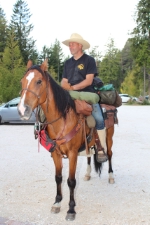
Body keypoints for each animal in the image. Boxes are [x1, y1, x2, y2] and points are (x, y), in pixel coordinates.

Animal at [17, 59, 115, 221]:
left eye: (39, 81)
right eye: (22, 81)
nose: (22, 110)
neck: (62, 120)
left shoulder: (73, 154)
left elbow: (71, 181)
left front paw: (71, 209)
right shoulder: (55, 153)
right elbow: (58, 178)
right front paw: (57, 203)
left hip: (109, 137)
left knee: (110, 154)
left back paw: (111, 176)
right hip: (89, 144)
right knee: (90, 155)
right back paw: (88, 174)